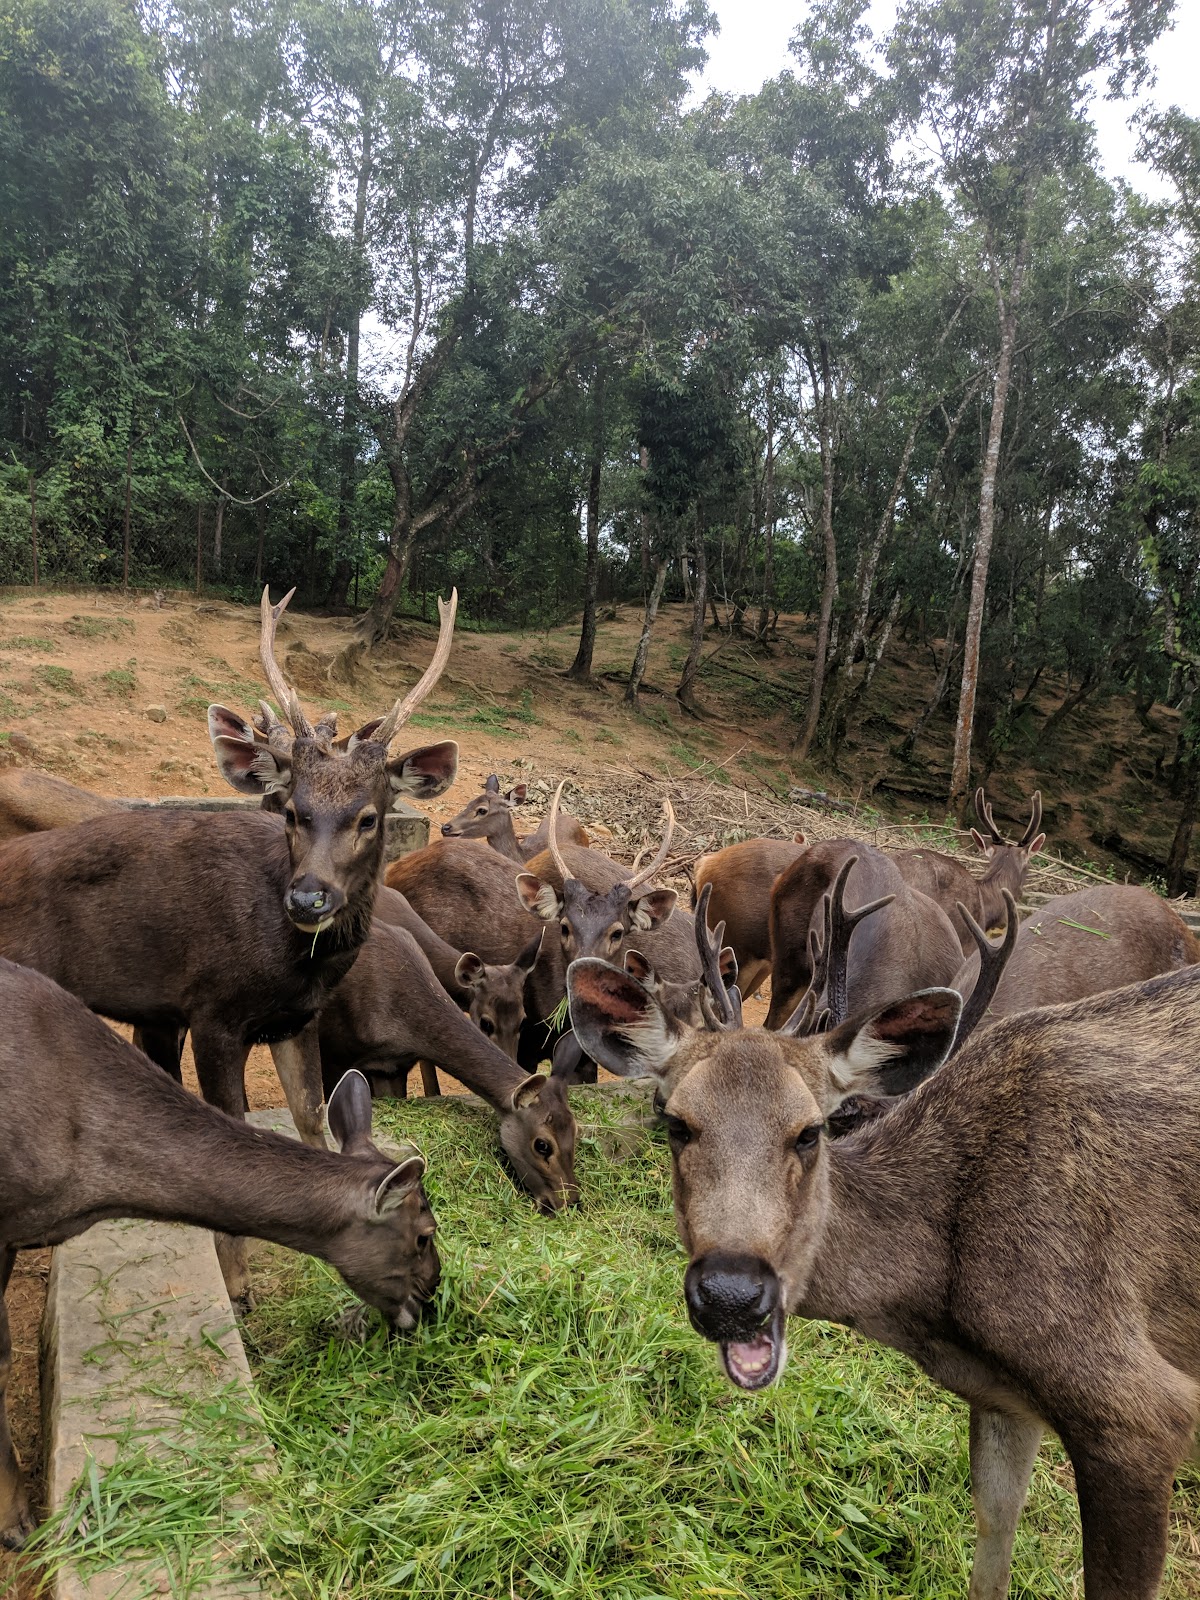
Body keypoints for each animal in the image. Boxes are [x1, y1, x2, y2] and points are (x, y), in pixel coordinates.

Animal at [0, 587, 458, 1301]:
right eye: (294, 810)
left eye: (368, 816)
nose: (308, 899)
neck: (288, 963)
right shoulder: (211, 1011)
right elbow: (233, 1123)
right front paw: (237, 1282)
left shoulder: (298, 1019)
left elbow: (310, 1116)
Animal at [567, 882, 1200, 1600]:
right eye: (676, 1121)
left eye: (809, 1131)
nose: (731, 1293)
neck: (942, 1299)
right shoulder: (1006, 1401)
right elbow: (992, 1540)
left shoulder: (1138, 1412)